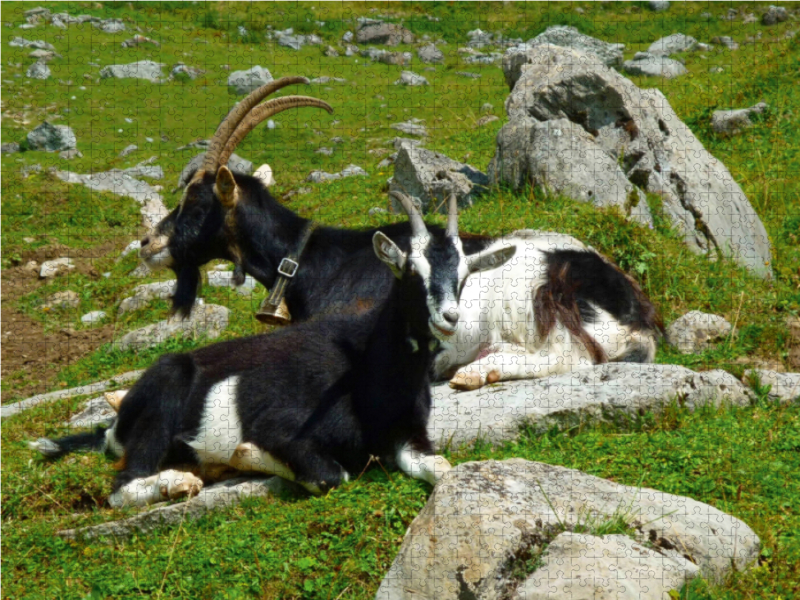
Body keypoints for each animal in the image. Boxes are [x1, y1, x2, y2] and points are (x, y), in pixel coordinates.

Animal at [31, 195, 512, 504]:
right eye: (409, 269)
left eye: (465, 274)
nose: (449, 318)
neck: (366, 366)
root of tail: (115, 424)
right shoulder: (285, 431)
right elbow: (331, 474)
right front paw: (243, 455)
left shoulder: (407, 437)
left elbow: (442, 467)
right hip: (160, 406)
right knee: (121, 488)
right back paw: (180, 482)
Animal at [139, 75, 664, 392]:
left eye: (195, 202)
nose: (147, 244)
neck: (314, 260)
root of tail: (635, 307)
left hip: (543, 297)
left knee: (576, 354)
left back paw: (476, 369)